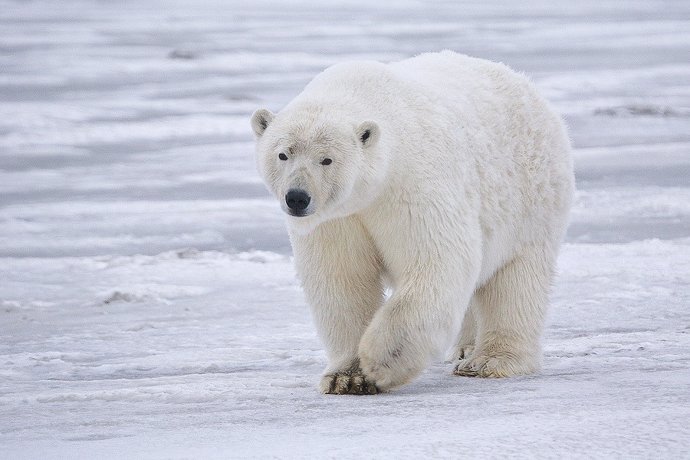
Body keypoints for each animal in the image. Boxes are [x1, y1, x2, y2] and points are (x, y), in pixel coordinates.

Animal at [250, 51, 572, 396]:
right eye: (283, 154)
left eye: (327, 159)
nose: (297, 198)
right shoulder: (337, 219)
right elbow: (342, 279)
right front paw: (346, 377)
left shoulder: (412, 184)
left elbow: (437, 261)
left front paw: (380, 362)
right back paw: (464, 348)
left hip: (531, 199)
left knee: (516, 281)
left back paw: (488, 361)